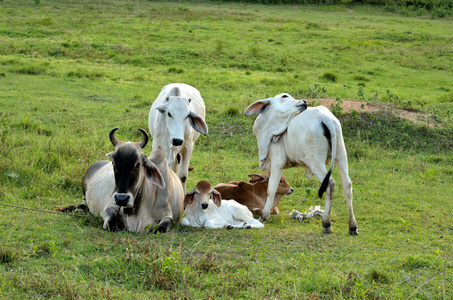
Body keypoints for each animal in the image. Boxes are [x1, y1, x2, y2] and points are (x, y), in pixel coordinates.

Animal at [245, 95, 358, 236]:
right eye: (285, 96)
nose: (304, 102)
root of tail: (324, 117)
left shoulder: (277, 162)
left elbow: (271, 188)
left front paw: (264, 216)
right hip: (341, 155)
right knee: (347, 185)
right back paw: (352, 226)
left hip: (316, 162)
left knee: (330, 184)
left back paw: (326, 224)